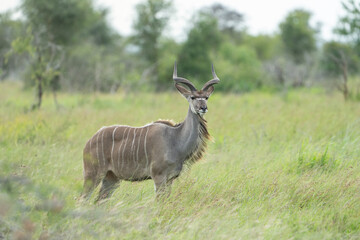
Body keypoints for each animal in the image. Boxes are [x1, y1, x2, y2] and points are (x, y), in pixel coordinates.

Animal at [82, 62, 219, 201]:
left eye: (206, 97)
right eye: (192, 97)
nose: (203, 108)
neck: (175, 139)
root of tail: (89, 142)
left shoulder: (170, 179)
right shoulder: (158, 176)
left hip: (112, 178)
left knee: (99, 200)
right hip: (93, 174)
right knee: (83, 199)